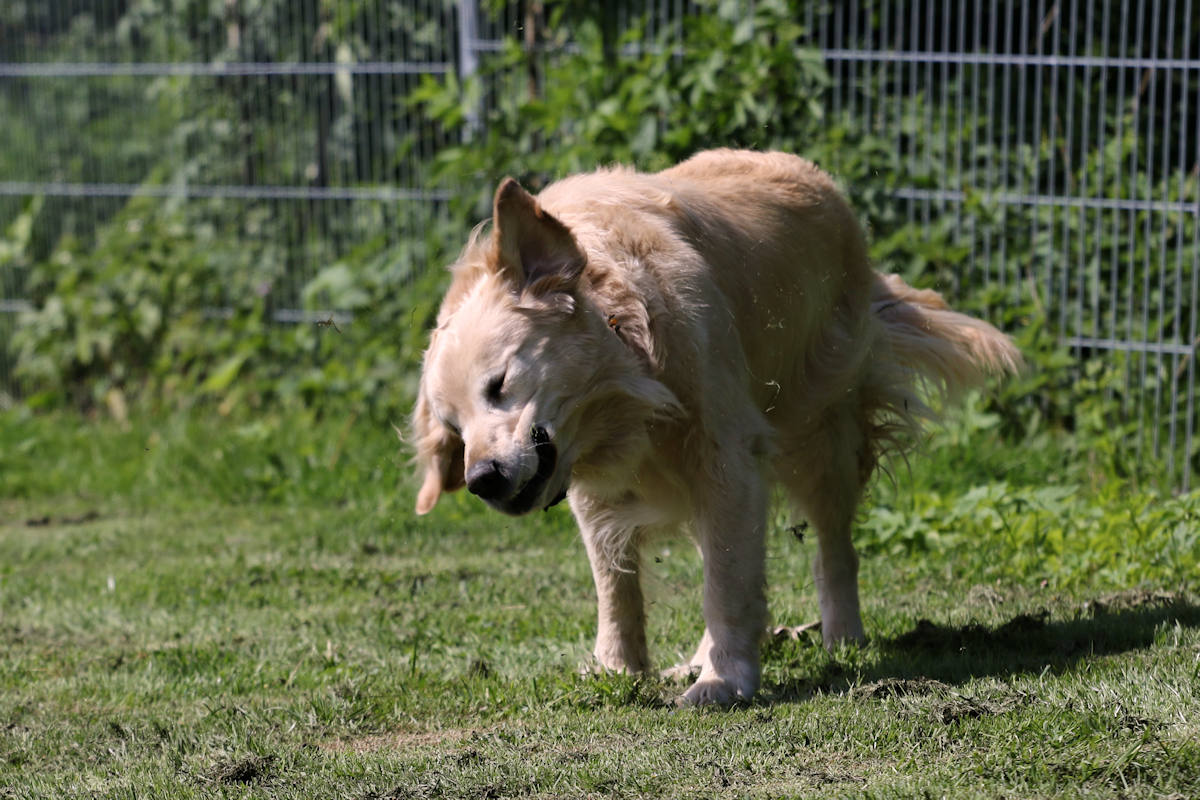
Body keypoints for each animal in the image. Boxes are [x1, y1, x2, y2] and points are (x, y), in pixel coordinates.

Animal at [415, 149, 1022, 705]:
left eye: (499, 384)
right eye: (454, 428)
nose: (483, 481)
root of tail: (816, 177)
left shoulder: (726, 456)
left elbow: (727, 584)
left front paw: (724, 681)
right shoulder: (592, 484)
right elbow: (617, 583)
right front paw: (618, 668)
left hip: (820, 435)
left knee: (832, 546)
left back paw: (843, 635)